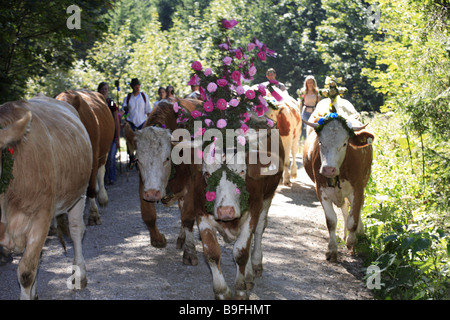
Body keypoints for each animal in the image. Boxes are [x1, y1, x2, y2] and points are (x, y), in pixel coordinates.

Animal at [55, 89, 114, 225]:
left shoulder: (93, 158)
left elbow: (91, 187)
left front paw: (93, 214)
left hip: (104, 151)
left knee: (101, 172)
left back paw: (102, 197)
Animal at [302, 109, 376, 262]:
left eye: (345, 143)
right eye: (320, 142)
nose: (328, 169)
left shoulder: (358, 189)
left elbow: (353, 219)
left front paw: (351, 242)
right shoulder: (321, 190)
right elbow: (331, 221)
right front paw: (332, 250)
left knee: (356, 211)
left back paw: (359, 233)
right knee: (344, 210)